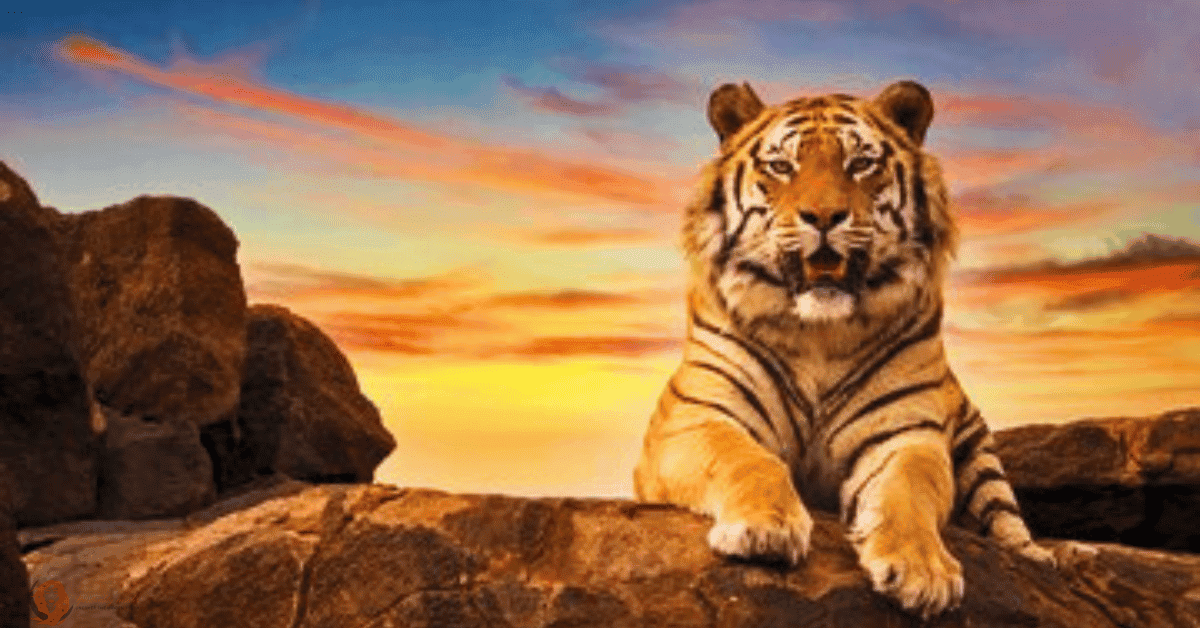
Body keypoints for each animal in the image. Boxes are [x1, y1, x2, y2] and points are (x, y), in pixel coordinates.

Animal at [633, 80, 1057, 618]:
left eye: (861, 163)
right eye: (781, 166)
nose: (823, 217)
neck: (819, 334)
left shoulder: (905, 436)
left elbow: (910, 491)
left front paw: (922, 571)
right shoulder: (696, 418)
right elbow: (748, 460)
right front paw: (764, 529)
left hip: (979, 448)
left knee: (1006, 518)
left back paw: (1036, 557)